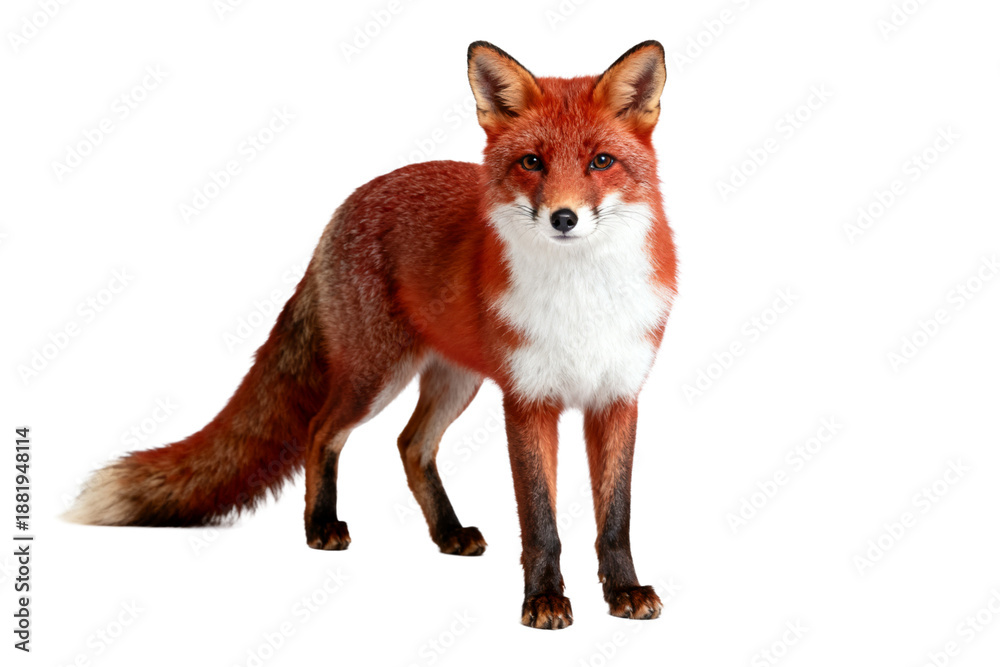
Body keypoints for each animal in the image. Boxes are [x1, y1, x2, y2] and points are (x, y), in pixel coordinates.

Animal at [66, 40, 677, 630]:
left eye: (601, 162)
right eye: (532, 162)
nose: (563, 218)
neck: (581, 301)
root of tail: (352, 201)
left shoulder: (618, 398)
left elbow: (616, 518)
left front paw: (624, 592)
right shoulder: (527, 400)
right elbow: (539, 521)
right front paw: (544, 601)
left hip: (455, 380)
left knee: (411, 444)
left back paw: (447, 533)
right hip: (375, 377)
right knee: (321, 431)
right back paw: (321, 526)